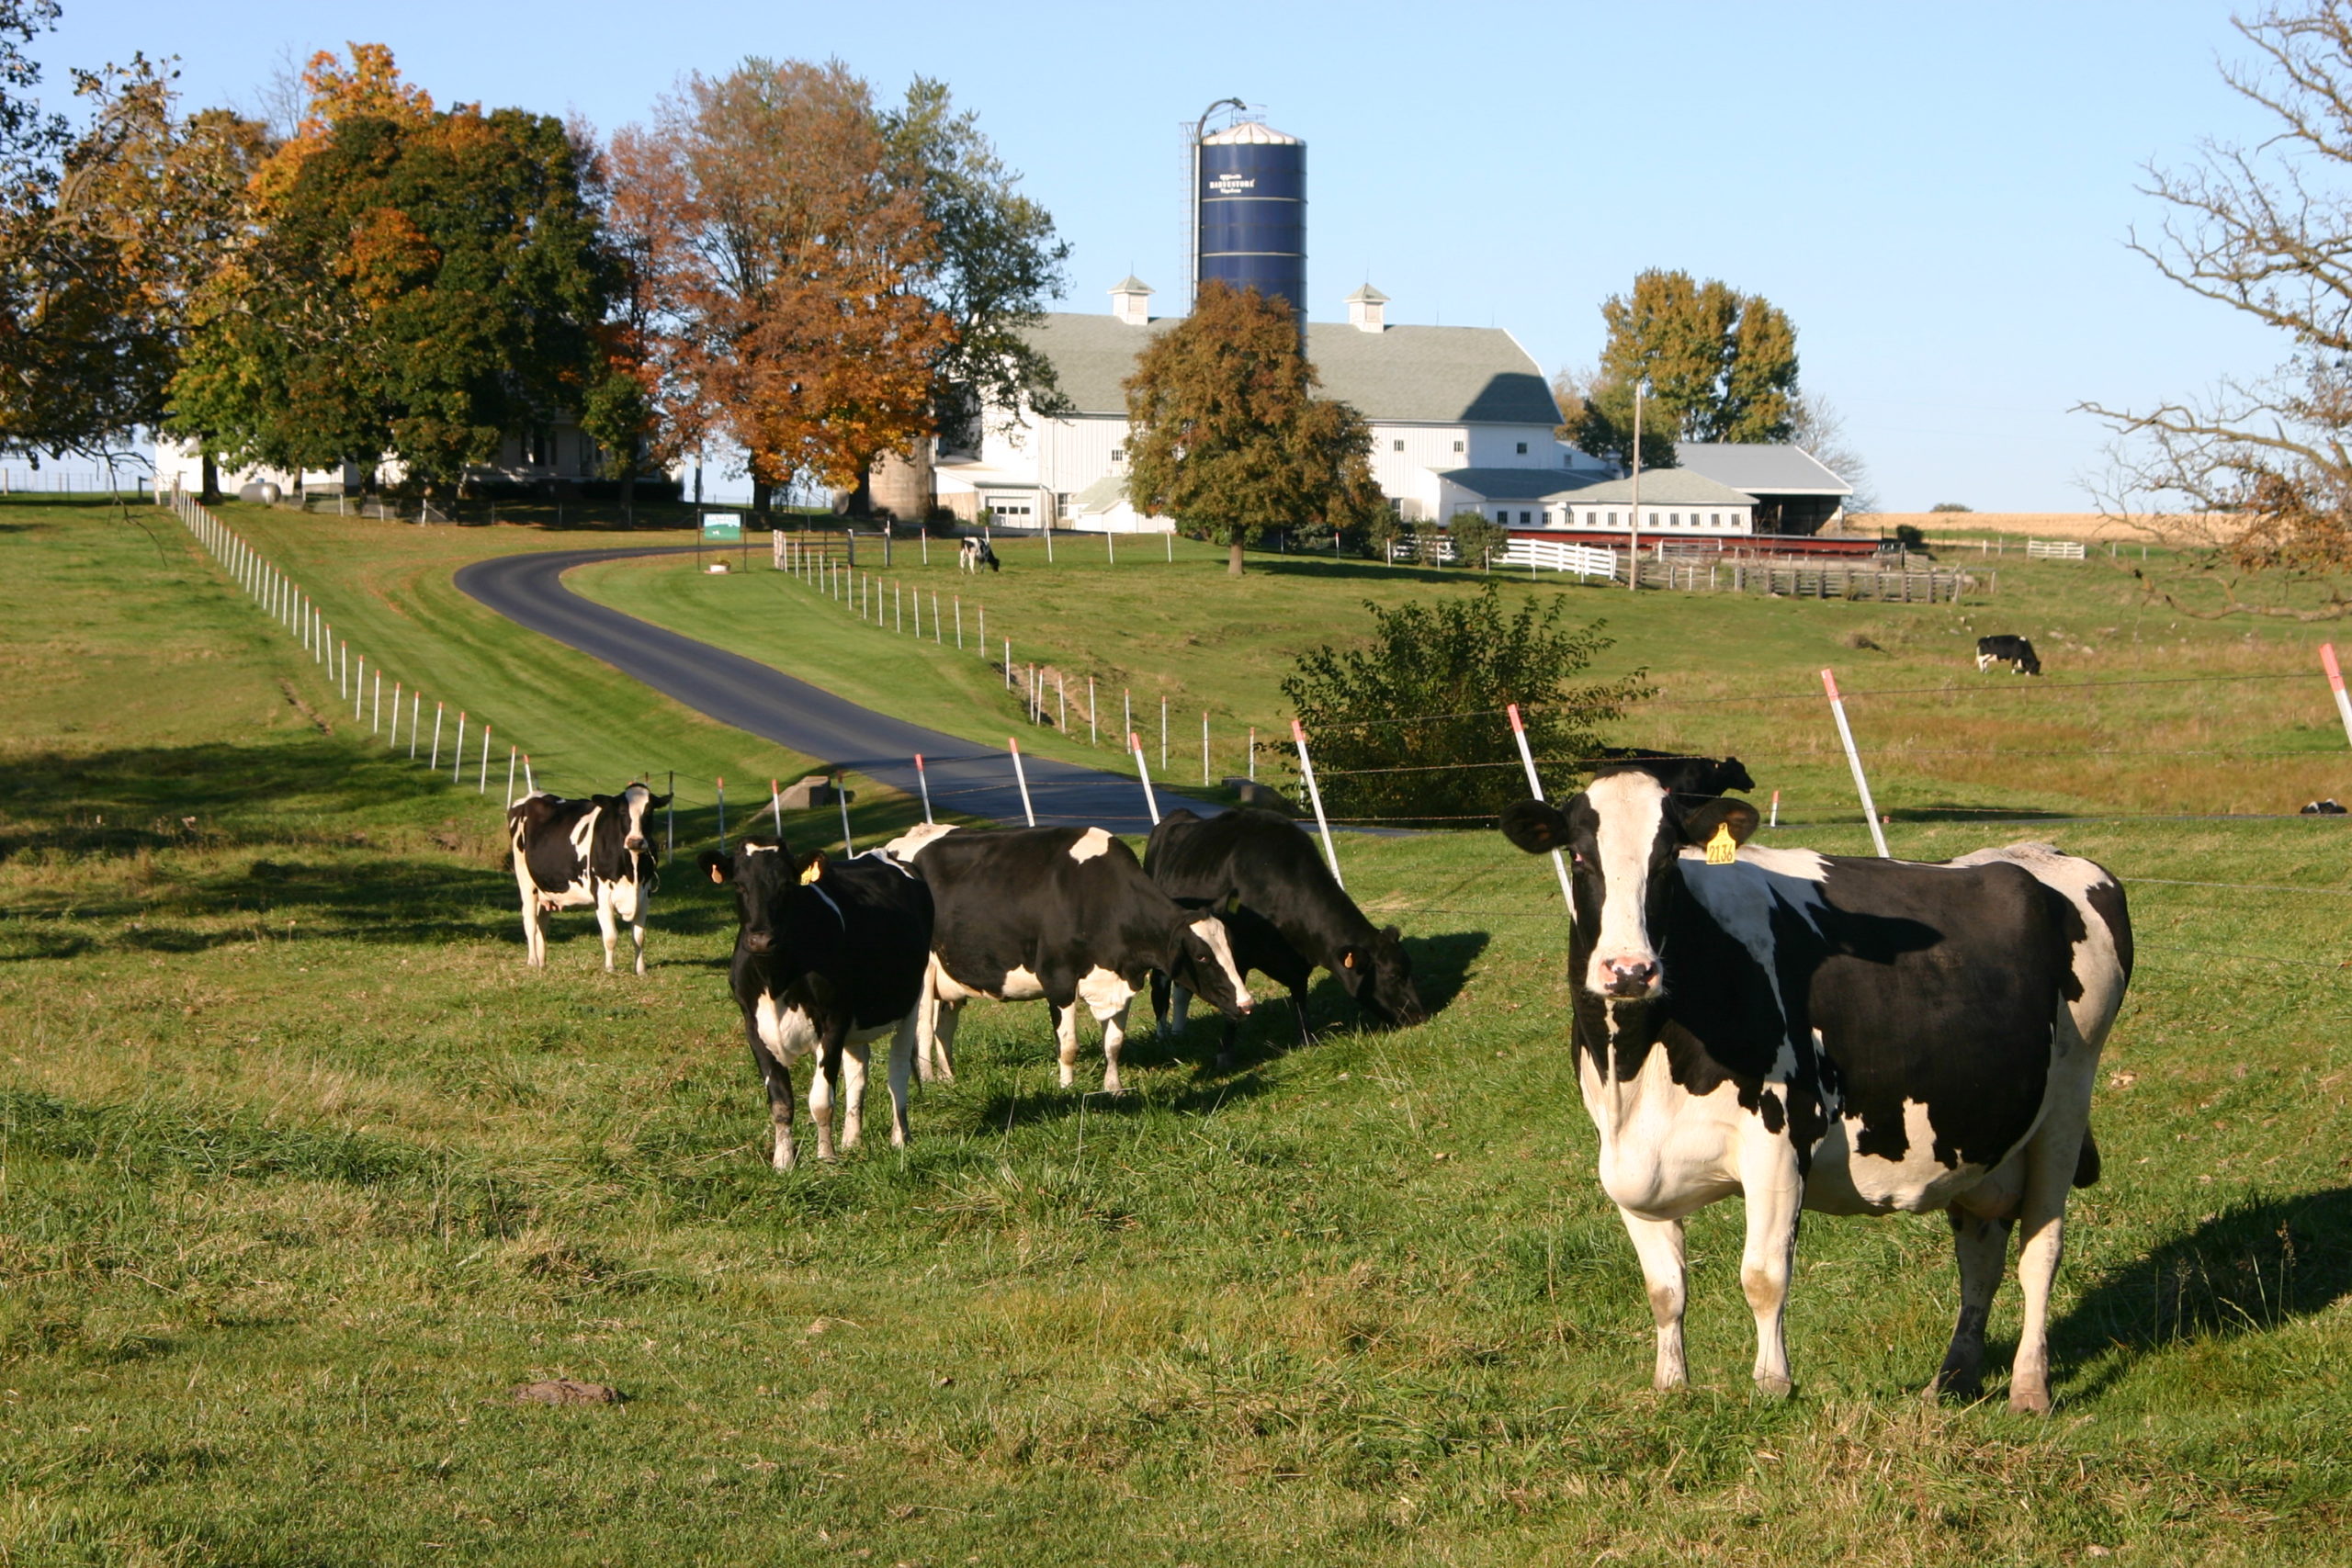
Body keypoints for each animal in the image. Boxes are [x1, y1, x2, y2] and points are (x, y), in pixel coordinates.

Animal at [691, 846, 931, 1166]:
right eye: (738, 885)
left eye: (786, 885)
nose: (761, 940)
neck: (775, 980)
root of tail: (882, 853)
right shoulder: (754, 1028)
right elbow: (781, 1102)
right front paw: (782, 1162)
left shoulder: (833, 1021)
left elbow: (821, 1100)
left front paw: (826, 1157)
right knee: (858, 1070)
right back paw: (851, 1140)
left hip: (911, 1001)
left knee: (898, 1070)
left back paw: (900, 1138)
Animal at [1143, 808, 1420, 1066]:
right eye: (1393, 975)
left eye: (1409, 969)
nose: (1420, 1015)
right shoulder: (1233, 958)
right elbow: (1234, 1004)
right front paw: (1224, 1055)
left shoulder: (1298, 964)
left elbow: (1300, 1001)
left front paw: (1307, 1039)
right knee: (1160, 986)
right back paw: (1163, 1036)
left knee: (1182, 990)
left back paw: (1179, 1032)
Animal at [1505, 771, 2135, 1410]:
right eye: (1579, 857)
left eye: (1667, 860)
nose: (1630, 971)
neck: (1637, 1064)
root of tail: (2043, 854)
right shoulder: (1627, 1158)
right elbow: (1665, 1288)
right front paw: (1671, 1386)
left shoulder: (1781, 1137)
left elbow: (1763, 1275)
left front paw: (1771, 1384)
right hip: (1980, 1134)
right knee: (1980, 1255)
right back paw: (1953, 1378)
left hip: (2067, 1103)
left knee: (2041, 1250)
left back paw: (2029, 1387)